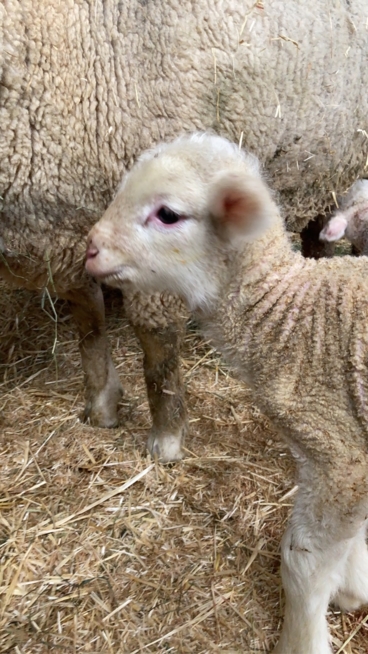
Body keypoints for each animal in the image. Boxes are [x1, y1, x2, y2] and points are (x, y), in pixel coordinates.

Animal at [85, 135, 368, 654]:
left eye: (168, 214)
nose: (90, 250)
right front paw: (355, 587)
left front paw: (302, 638)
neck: (292, 317)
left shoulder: (338, 454)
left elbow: (302, 560)